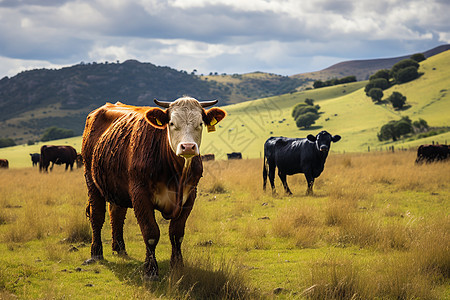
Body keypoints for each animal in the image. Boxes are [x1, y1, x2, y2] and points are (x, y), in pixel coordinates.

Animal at [81, 96, 225, 282]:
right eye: (171, 123)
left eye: (200, 123)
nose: (188, 147)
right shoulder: (140, 194)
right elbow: (150, 233)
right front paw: (150, 271)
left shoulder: (190, 195)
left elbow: (176, 233)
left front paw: (178, 266)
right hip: (91, 181)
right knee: (97, 217)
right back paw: (96, 253)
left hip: (116, 187)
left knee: (116, 215)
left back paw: (119, 248)